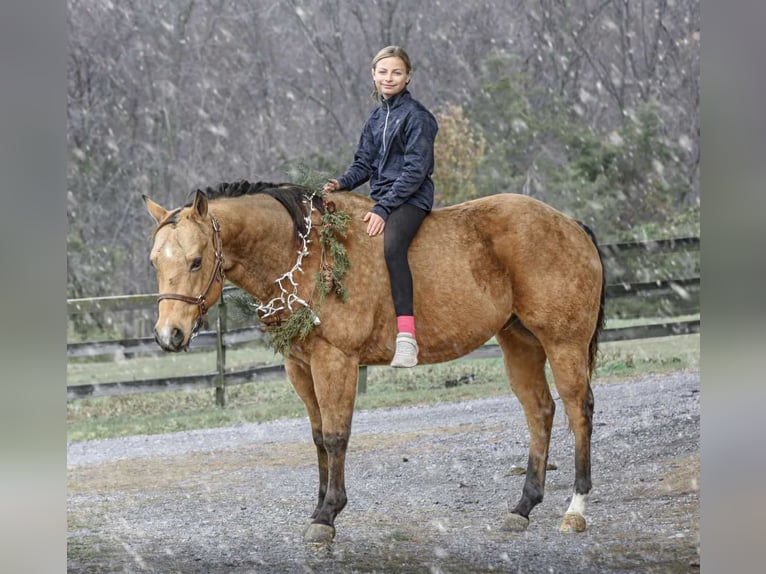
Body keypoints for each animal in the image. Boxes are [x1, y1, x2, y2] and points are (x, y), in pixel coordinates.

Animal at [143, 180, 605, 545]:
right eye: (155, 262)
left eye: (196, 260)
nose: (169, 335)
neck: (306, 255)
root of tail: (570, 225)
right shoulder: (300, 367)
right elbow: (318, 437)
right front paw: (318, 508)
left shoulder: (336, 361)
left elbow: (336, 436)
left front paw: (328, 515)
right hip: (519, 342)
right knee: (540, 412)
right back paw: (523, 506)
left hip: (563, 344)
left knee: (578, 411)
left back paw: (576, 509)